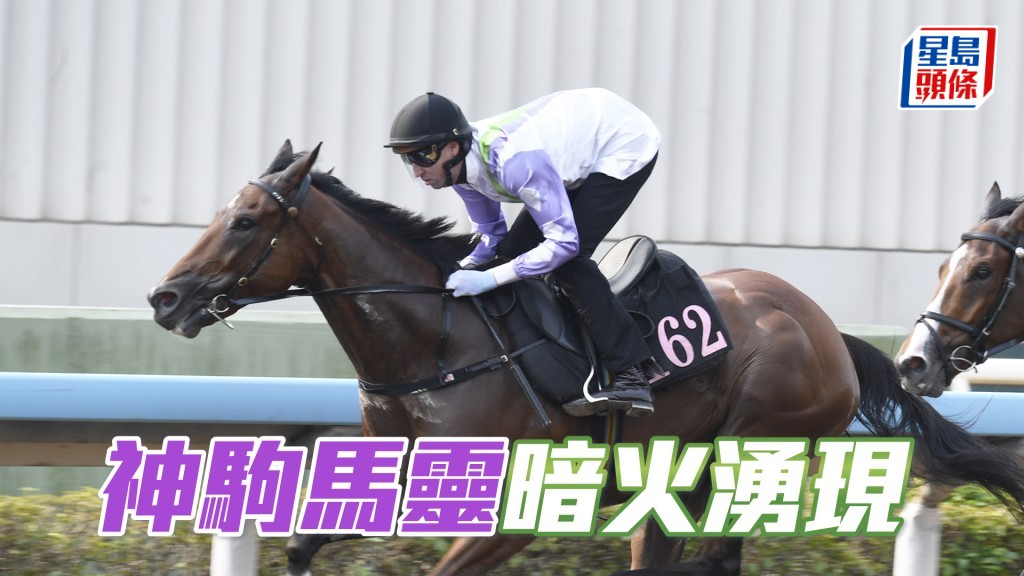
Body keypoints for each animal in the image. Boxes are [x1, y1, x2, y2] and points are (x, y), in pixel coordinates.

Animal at [149, 142, 1024, 576]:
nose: (165, 297)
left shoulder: (514, 511)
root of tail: (829, 332)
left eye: (246, 220)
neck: (437, 341)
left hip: (752, 451)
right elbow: (302, 544)